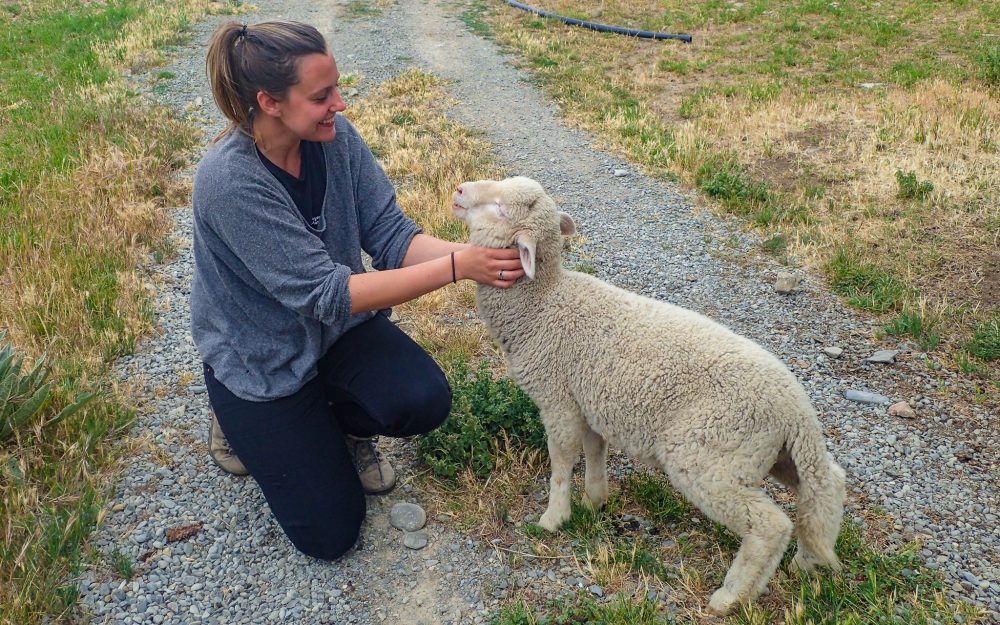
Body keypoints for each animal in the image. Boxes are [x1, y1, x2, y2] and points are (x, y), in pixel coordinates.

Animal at [454, 176, 844, 616]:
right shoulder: (590, 401)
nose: (459, 191)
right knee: (827, 485)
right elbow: (595, 452)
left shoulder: (558, 400)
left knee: (770, 524)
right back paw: (805, 561)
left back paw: (730, 596)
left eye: (501, 208)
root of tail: (796, 409)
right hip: (769, 453)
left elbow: (561, 463)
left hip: (709, 453)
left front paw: (554, 518)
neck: (542, 303)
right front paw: (594, 502)